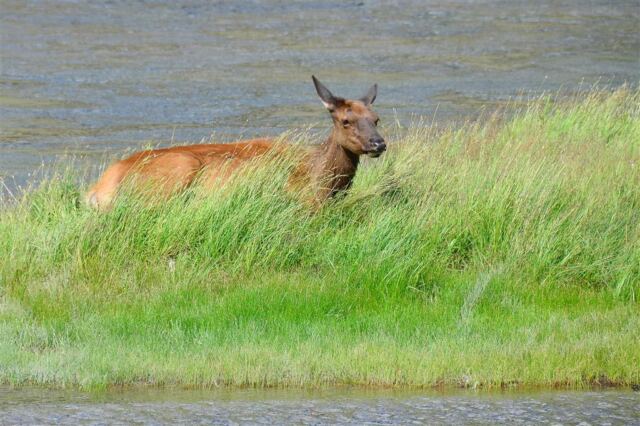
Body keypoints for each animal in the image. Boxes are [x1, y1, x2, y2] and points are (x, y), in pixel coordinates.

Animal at [85, 76, 386, 210]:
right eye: (345, 120)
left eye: (376, 118)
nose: (378, 143)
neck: (325, 179)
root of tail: (97, 190)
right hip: (178, 170)